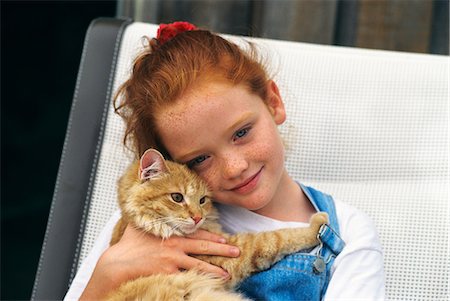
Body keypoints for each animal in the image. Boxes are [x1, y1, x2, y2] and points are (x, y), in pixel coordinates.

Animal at [107, 149, 328, 298]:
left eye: (202, 200)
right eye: (177, 197)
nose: (197, 217)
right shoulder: (234, 255)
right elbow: (279, 237)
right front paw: (317, 225)